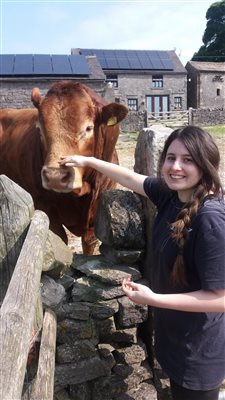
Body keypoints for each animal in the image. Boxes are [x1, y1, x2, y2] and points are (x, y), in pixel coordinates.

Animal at [0, 82, 127, 253]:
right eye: (39, 129)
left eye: (88, 128)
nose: (55, 177)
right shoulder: (45, 207)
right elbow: (61, 241)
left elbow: (88, 244)